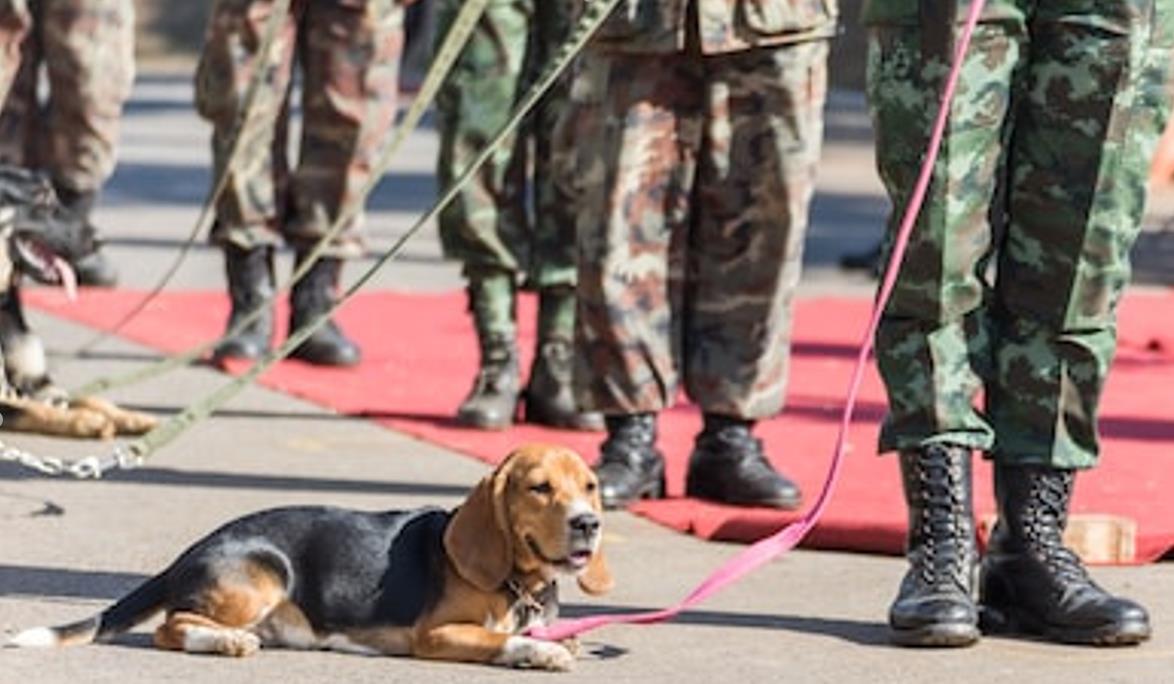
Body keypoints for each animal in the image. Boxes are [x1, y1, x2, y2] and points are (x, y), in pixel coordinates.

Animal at [0, 165, 154, 438]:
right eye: (42, 198)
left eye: (54, 195)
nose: (101, 239)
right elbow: (32, 409)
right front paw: (86, 420)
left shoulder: (38, 384)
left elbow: (86, 398)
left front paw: (128, 415)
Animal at [6, 443, 615, 675]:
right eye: (539, 488)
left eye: (589, 486)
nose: (588, 522)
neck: (520, 582)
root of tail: (192, 549)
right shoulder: (438, 635)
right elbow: (499, 640)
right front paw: (537, 653)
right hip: (266, 572)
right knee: (170, 627)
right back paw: (225, 642)